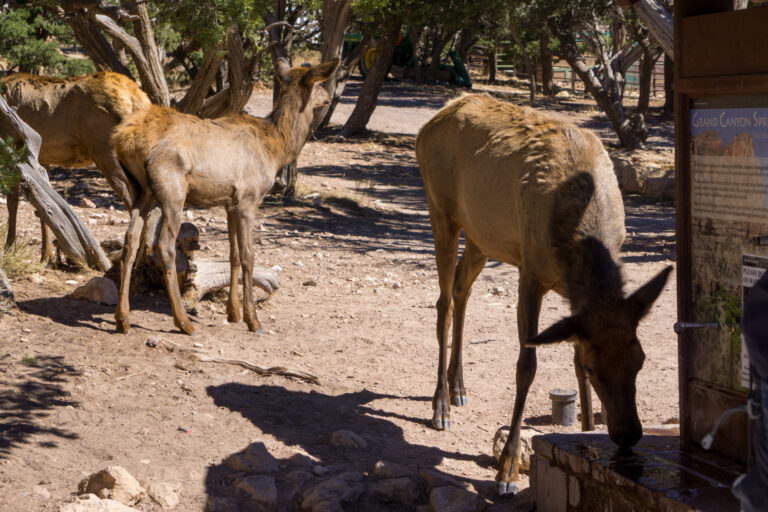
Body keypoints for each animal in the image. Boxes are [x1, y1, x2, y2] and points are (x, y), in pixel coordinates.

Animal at [1, 71, 151, 261]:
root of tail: (137, 99)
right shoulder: (41, 157)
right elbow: (42, 206)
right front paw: (47, 256)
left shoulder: (12, 144)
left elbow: (13, 201)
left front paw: (9, 248)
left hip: (104, 151)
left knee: (133, 200)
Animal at [110, 57, 339, 336]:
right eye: (317, 83)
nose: (329, 97)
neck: (276, 149)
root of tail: (123, 141)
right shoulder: (249, 199)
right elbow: (249, 255)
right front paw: (253, 320)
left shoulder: (230, 203)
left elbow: (234, 254)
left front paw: (233, 313)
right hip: (172, 189)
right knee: (164, 246)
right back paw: (183, 321)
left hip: (141, 191)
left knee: (130, 241)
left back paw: (122, 318)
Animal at [415, 93, 672, 495]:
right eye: (597, 371)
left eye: (641, 360)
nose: (629, 434)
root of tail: (428, 125)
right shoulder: (530, 273)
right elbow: (527, 366)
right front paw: (506, 470)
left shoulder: (577, 305)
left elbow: (572, 359)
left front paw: (587, 433)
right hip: (440, 209)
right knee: (444, 301)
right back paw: (440, 405)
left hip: (482, 235)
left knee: (461, 289)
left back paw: (458, 387)